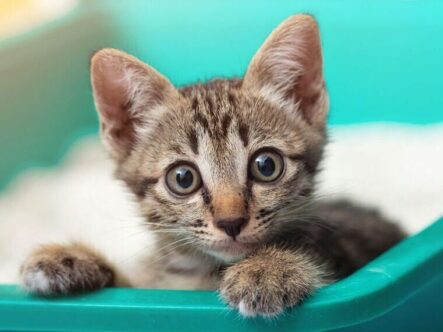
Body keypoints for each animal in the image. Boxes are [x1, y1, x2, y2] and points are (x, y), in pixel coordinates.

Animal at [19, 14, 404, 316]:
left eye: (266, 165)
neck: (204, 273)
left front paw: (269, 268)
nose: (230, 222)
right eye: (183, 178)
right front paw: (70, 259)